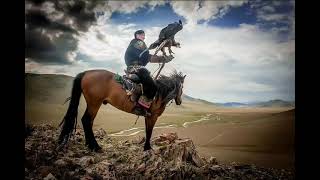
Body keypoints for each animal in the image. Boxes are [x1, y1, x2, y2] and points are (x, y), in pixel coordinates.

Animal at [57, 68, 185, 151]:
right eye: (182, 87)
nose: (180, 101)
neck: (160, 93)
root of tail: (86, 73)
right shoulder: (152, 116)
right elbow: (149, 131)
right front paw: (148, 148)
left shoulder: (147, 116)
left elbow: (147, 130)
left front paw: (146, 147)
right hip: (94, 103)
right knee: (87, 121)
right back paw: (95, 147)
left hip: (92, 103)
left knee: (87, 121)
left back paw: (90, 145)